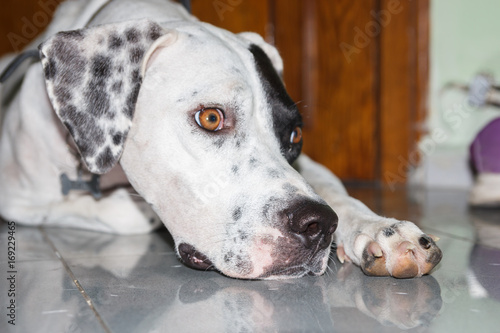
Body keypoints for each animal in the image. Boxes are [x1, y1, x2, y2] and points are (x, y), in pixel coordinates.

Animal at [0, 0, 442, 278]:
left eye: (295, 134)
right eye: (211, 118)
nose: (318, 225)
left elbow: (335, 188)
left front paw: (382, 228)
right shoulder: (18, 198)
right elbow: (121, 215)